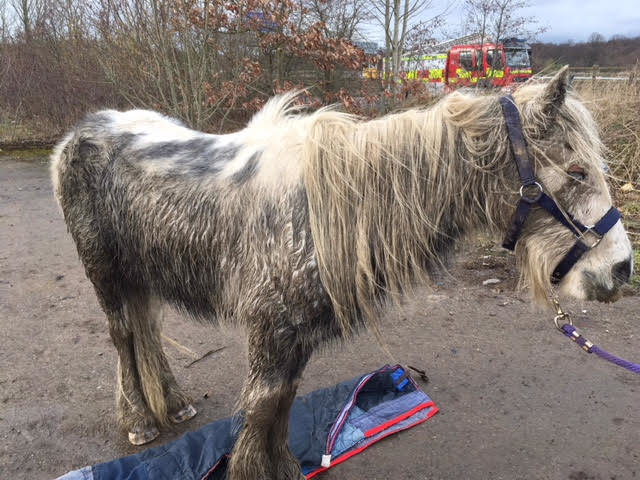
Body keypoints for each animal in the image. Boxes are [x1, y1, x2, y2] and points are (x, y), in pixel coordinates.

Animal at [50, 68, 632, 480]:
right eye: (577, 170)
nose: (621, 269)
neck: (329, 208)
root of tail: (79, 132)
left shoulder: (297, 336)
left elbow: (282, 405)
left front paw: (285, 470)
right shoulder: (270, 329)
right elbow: (262, 408)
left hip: (141, 274)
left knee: (147, 334)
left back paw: (172, 403)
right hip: (104, 274)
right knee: (124, 336)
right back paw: (140, 422)